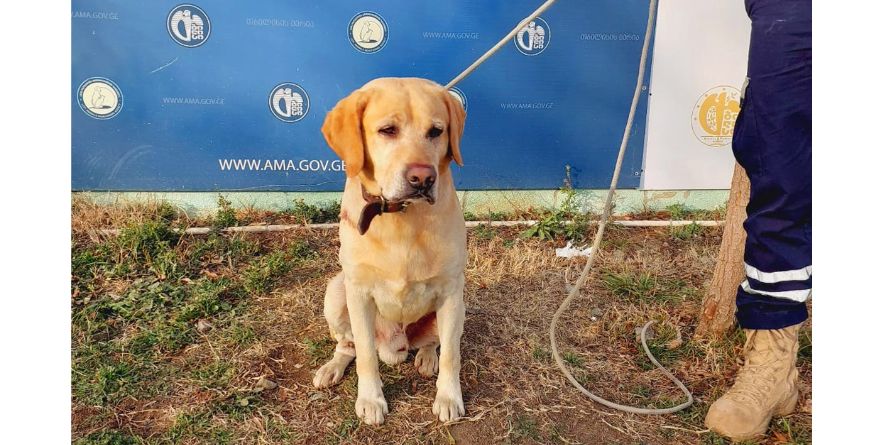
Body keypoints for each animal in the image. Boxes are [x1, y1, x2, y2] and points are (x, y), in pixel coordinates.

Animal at [312, 77, 468, 424]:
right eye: (387, 130)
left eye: (436, 131)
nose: (422, 178)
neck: (401, 216)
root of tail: (395, 346)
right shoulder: (358, 292)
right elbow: (365, 356)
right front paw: (371, 399)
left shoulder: (452, 292)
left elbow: (452, 355)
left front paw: (448, 397)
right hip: (336, 293)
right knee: (349, 345)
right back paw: (333, 366)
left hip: (458, 308)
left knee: (433, 343)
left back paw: (426, 357)